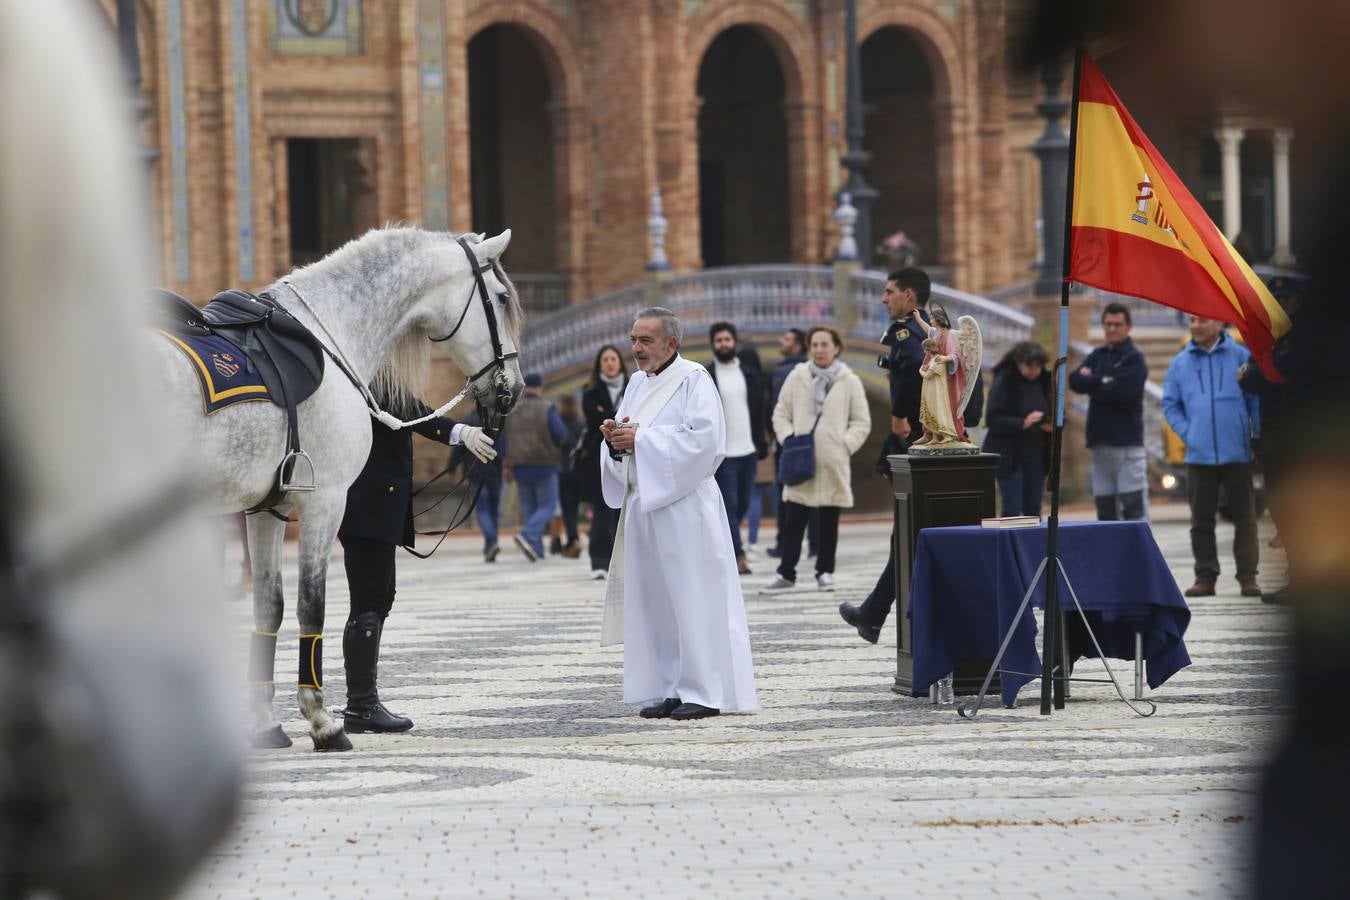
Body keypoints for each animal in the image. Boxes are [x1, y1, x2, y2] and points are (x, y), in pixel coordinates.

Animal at [155, 226, 518, 755]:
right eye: (503, 298)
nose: (516, 386)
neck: (331, 333)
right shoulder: (325, 500)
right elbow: (313, 605)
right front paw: (323, 722)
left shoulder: (265, 511)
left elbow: (270, 608)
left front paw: (265, 725)